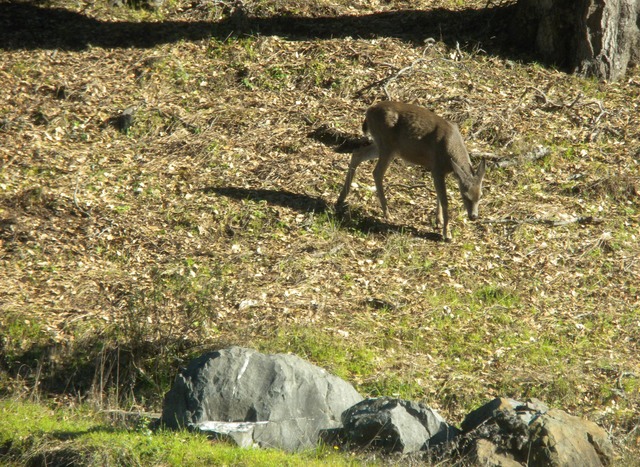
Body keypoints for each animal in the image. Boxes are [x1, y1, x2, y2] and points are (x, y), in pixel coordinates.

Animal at [336, 101, 484, 241]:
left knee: (357, 154)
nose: (474, 216)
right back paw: (387, 213)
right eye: (465, 196)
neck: (451, 151)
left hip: (381, 144)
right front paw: (447, 234)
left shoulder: (441, 171)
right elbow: (444, 200)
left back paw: (341, 198)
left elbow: (438, 195)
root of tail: (369, 110)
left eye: (480, 196)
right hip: (387, 145)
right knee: (376, 172)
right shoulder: (436, 168)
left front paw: (438, 221)